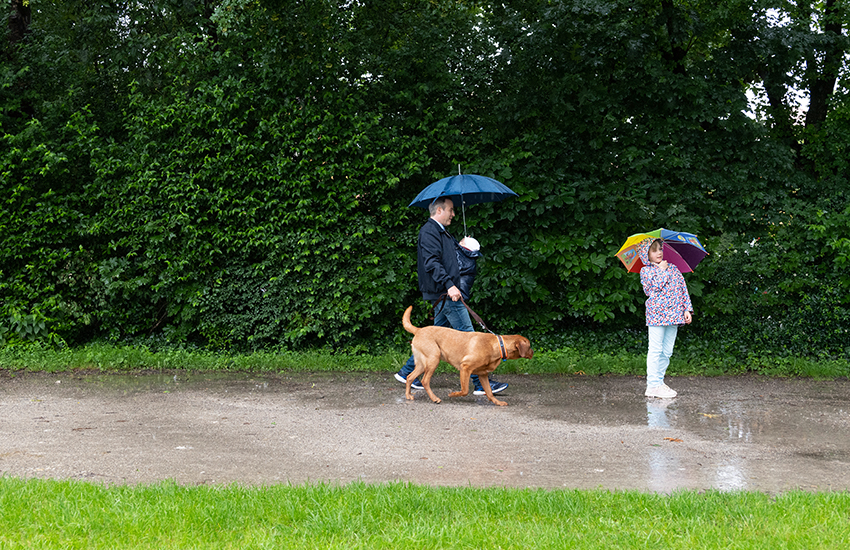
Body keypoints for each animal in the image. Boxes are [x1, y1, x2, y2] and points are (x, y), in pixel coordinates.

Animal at [402, 306, 532, 406]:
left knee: (409, 377)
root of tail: (418, 330)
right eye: (530, 346)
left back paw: (408, 395)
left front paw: (497, 402)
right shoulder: (465, 368)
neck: (498, 346)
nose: (533, 352)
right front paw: (453, 394)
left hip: (422, 365)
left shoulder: (483, 374)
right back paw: (435, 398)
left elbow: (489, 392)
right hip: (434, 359)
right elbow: (465, 390)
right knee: (424, 381)